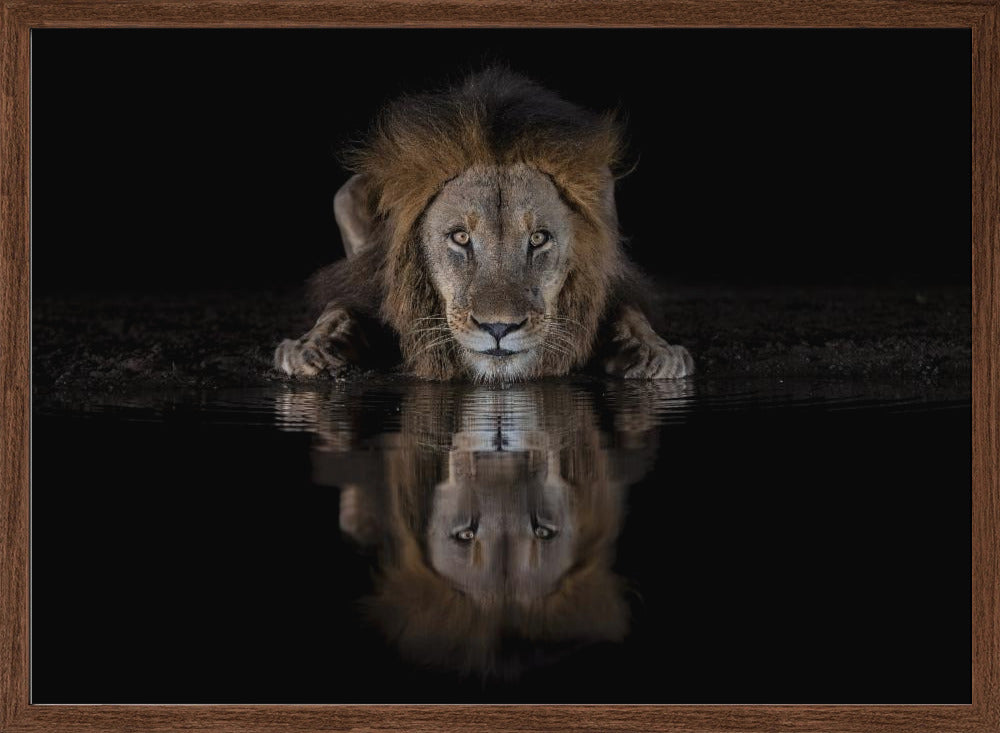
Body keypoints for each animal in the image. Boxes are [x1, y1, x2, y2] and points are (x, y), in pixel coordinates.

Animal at [274, 68, 693, 383]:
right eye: (461, 237)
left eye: (538, 238)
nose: (498, 329)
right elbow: (340, 305)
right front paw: (311, 347)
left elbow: (628, 310)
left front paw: (655, 351)